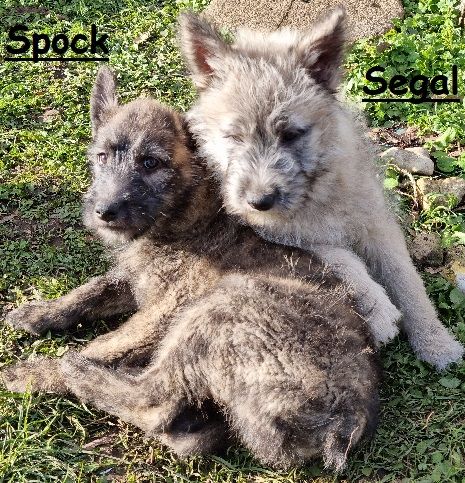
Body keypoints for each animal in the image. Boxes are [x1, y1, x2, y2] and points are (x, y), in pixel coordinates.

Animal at [3, 66, 383, 471]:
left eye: (151, 163)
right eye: (102, 156)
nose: (103, 212)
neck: (186, 215)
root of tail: (343, 423)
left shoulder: (163, 311)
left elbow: (104, 343)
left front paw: (40, 370)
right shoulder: (136, 280)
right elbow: (89, 291)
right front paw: (39, 313)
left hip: (222, 307)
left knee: (155, 400)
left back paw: (80, 374)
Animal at [179, 8, 464, 370]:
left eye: (291, 135)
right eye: (234, 137)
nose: (259, 201)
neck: (317, 194)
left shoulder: (378, 227)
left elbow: (407, 280)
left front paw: (435, 341)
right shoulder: (280, 236)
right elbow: (340, 256)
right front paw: (377, 309)